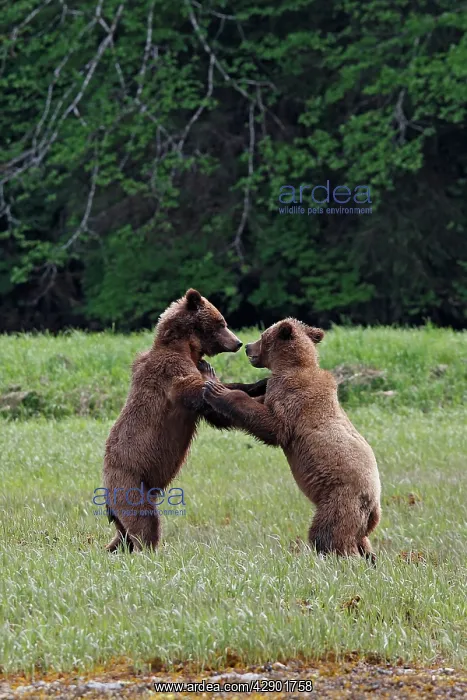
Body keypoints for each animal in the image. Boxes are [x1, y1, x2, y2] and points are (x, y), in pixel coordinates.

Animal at [102, 289, 267, 552]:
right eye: (222, 322)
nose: (239, 342)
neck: (186, 348)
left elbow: (216, 413)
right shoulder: (171, 372)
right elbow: (195, 391)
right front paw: (252, 383)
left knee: (123, 536)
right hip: (130, 484)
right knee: (144, 523)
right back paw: (149, 550)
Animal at [203, 318, 381, 562]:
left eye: (262, 335)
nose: (247, 346)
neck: (291, 366)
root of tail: (374, 504)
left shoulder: (292, 398)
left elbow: (273, 426)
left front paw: (216, 389)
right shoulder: (273, 394)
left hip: (341, 500)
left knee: (328, 534)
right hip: (359, 518)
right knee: (363, 542)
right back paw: (370, 559)